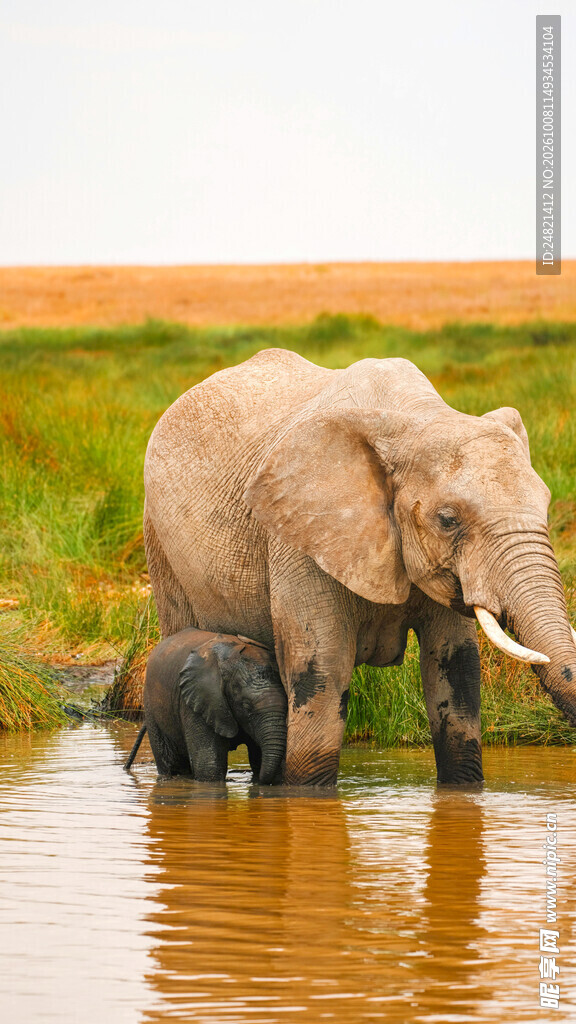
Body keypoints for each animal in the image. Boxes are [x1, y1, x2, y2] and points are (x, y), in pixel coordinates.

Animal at [124, 628, 287, 784]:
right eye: (246, 707)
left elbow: (257, 758)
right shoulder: (198, 700)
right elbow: (209, 767)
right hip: (150, 703)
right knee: (172, 764)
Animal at [143, 348, 576, 786]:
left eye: (545, 506)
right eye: (447, 520)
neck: (414, 419)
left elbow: (455, 670)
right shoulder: (300, 538)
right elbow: (322, 672)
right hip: (159, 539)